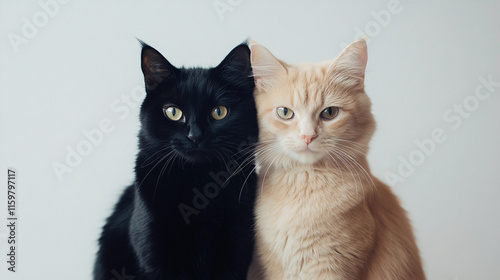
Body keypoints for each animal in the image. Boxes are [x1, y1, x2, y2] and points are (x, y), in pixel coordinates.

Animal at [94, 41, 258, 280]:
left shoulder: (237, 251)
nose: (195, 136)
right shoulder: (154, 258)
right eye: (173, 112)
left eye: (219, 112)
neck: (198, 188)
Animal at [248, 40, 424, 280]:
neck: (304, 186)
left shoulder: (331, 266)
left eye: (329, 113)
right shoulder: (274, 267)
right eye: (285, 112)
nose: (308, 136)